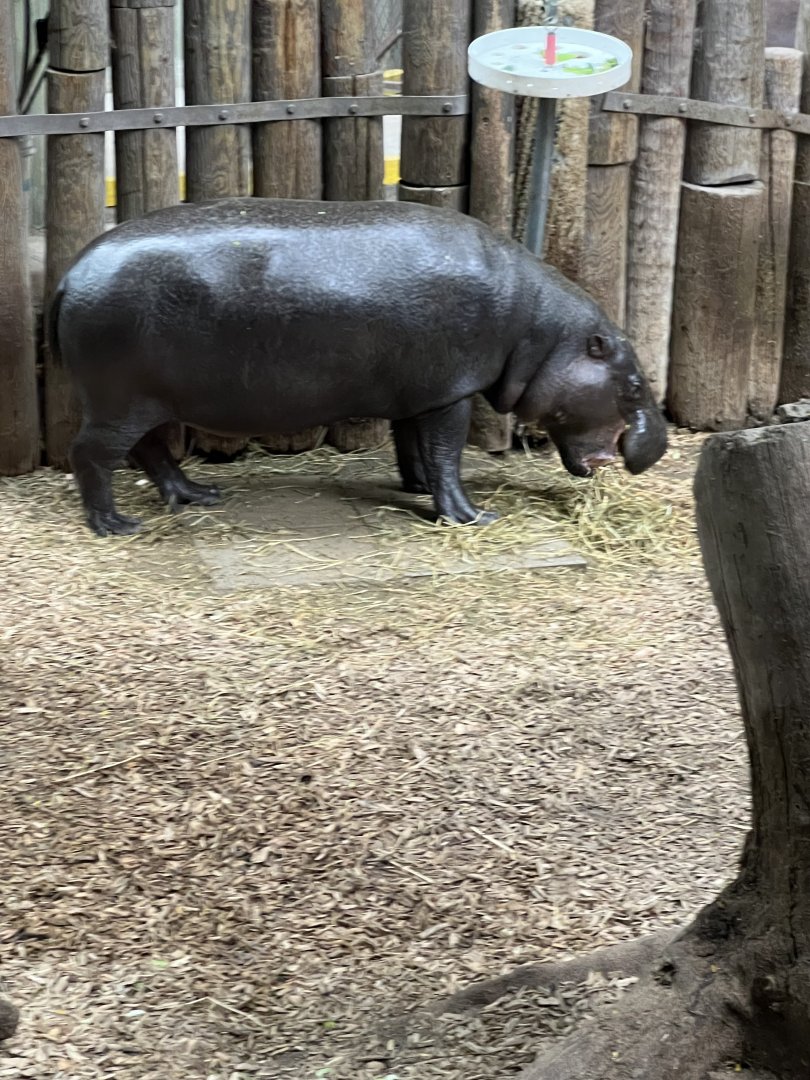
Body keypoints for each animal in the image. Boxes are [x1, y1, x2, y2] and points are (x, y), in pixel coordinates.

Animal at [48, 197, 667, 537]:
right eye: (635, 382)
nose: (655, 450)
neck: (540, 330)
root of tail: (71, 274)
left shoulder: (419, 391)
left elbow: (415, 446)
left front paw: (416, 488)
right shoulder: (450, 393)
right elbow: (446, 452)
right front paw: (473, 517)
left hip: (144, 400)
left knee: (152, 451)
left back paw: (198, 495)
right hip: (119, 401)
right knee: (93, 455)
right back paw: (115, 526)